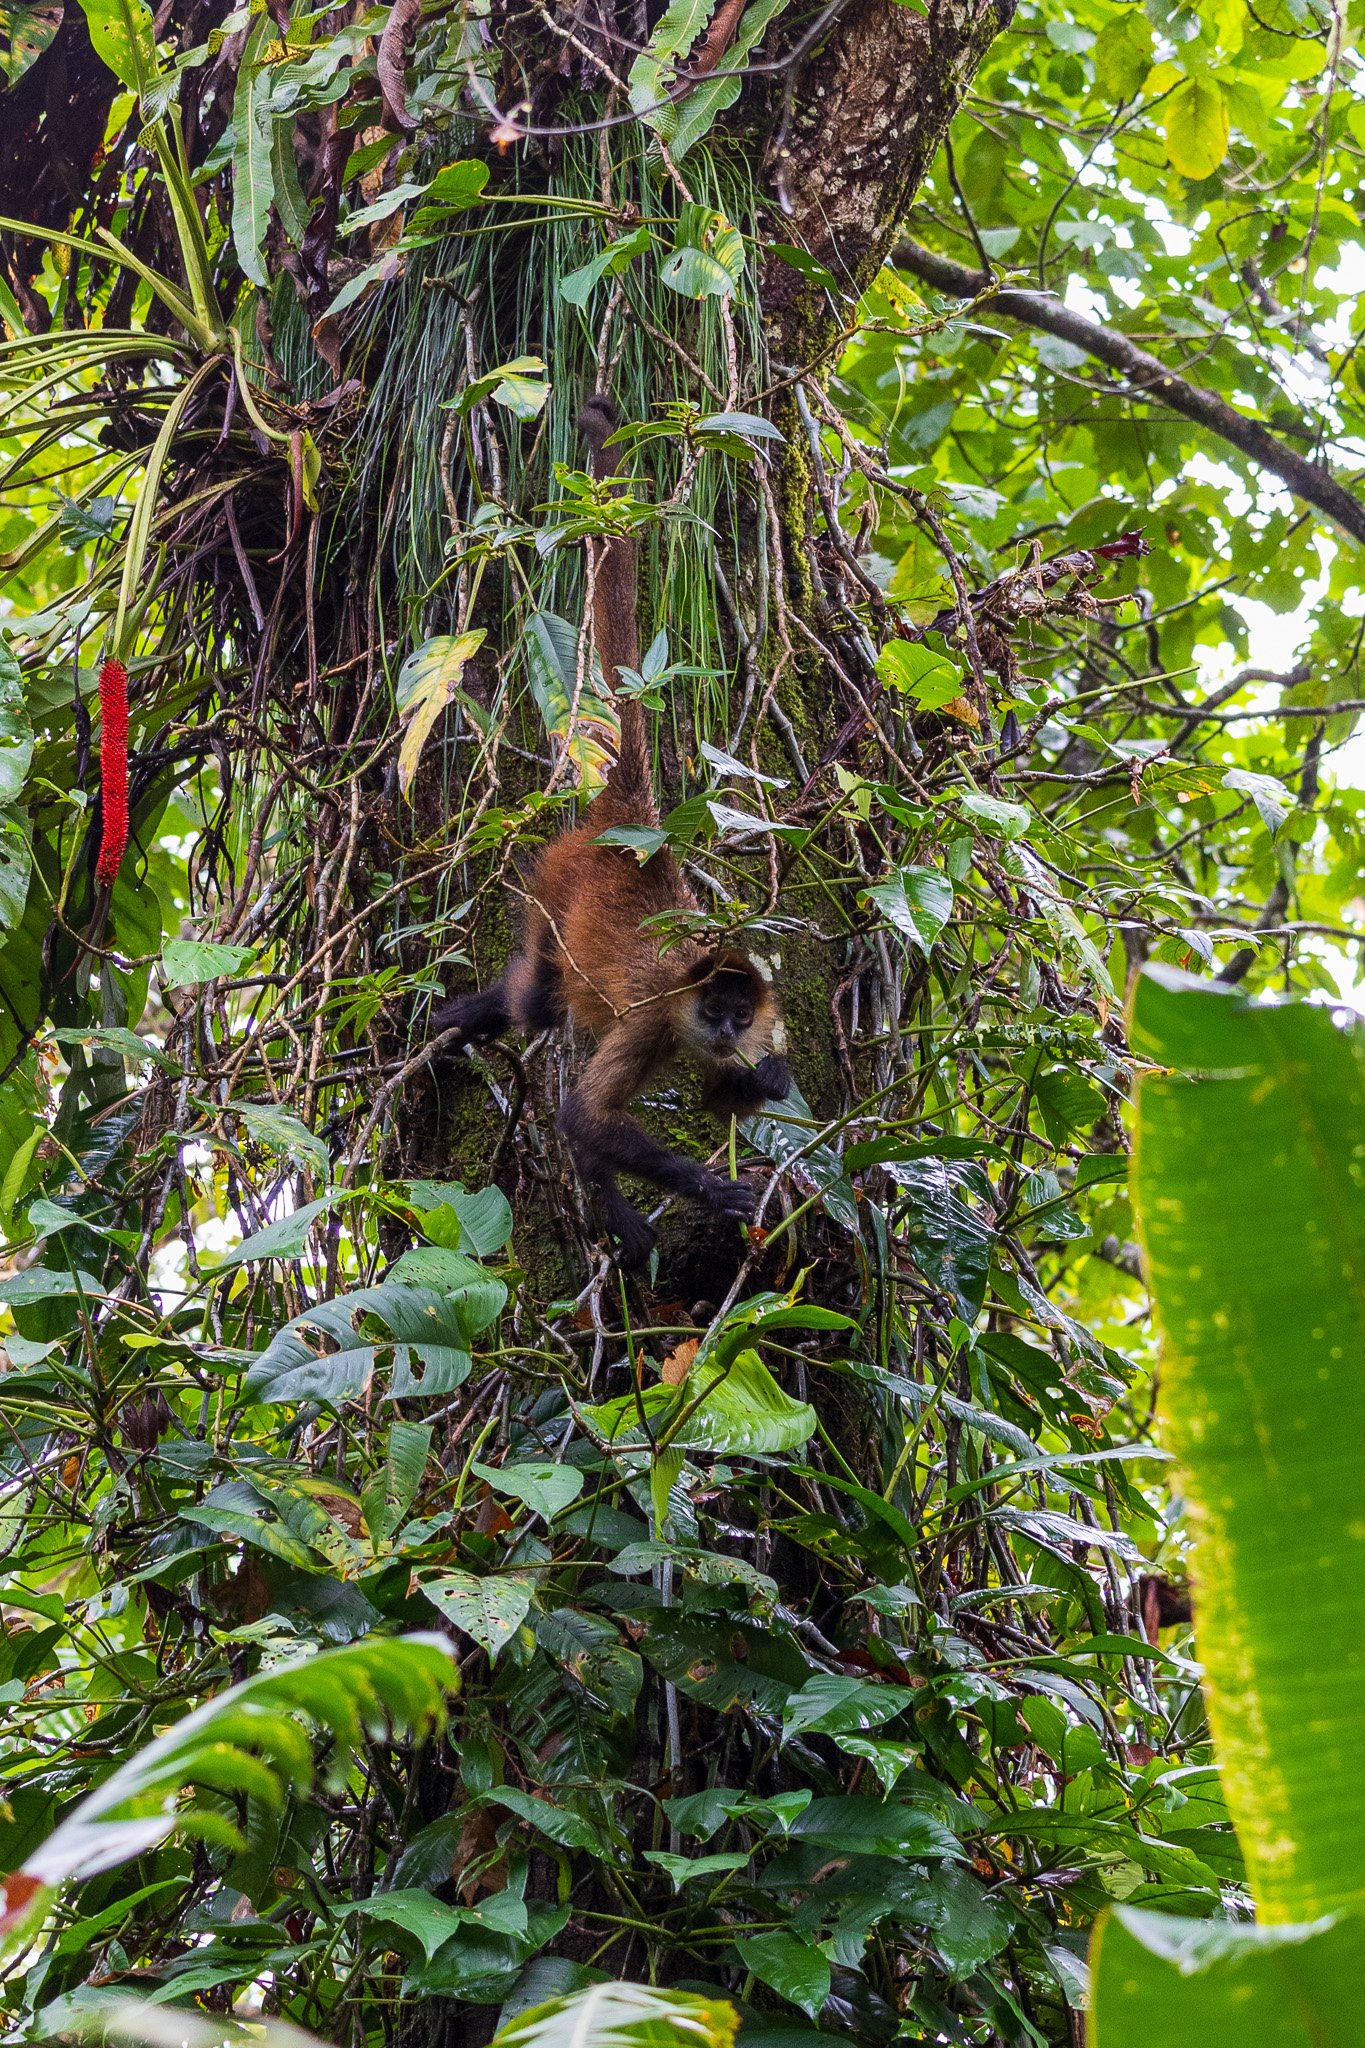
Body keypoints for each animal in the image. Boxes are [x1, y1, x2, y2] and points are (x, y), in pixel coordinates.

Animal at [431, 387, 794, 1261]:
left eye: (741, 1016)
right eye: (712, 1010)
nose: (726, 1030)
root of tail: (633, 830)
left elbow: (722, 1097)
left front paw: (765, 1083)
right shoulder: (652, 1023)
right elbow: (582, 1116)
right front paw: (709, 1190)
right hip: (557, 886)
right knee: (535, 1006)